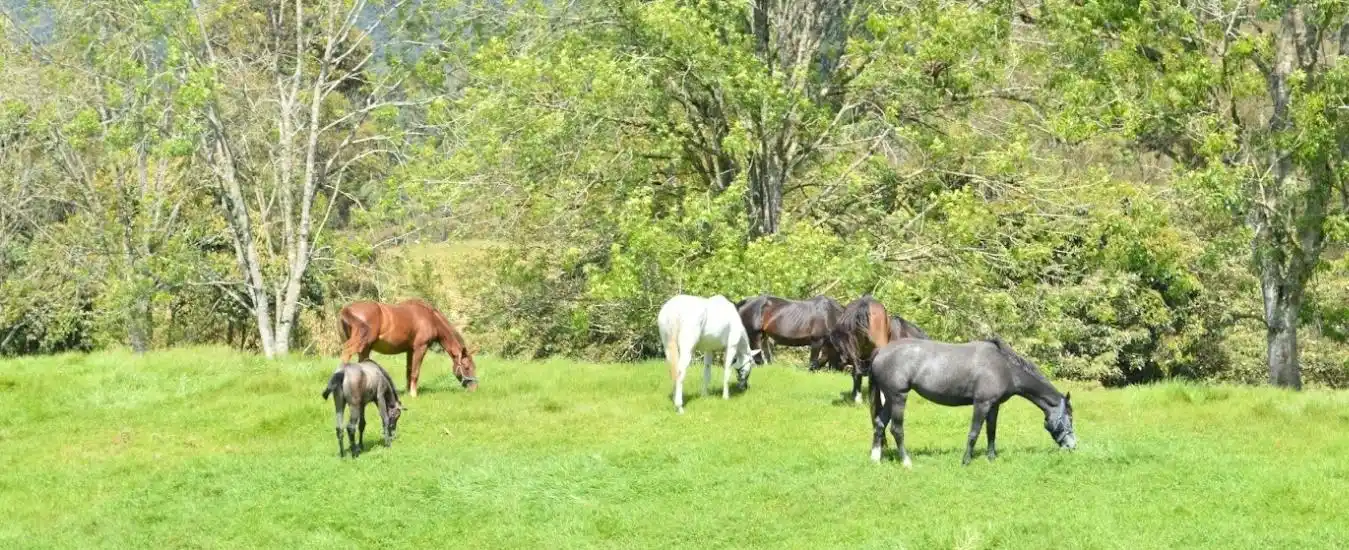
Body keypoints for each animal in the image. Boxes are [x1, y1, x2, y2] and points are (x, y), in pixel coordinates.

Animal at [339, 299, 478, 397]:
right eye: (467, 367)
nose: (474, 388)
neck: (431, 318)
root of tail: (347, 310)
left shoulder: (410, 350)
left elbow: (409, 371)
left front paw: (407, 392)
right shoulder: (420, 348)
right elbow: (415, 372)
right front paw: (414, 394)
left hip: (365, 349)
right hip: (360, 344)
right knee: (345, 354)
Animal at [867, 336, 1077, 467]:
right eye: (1070, 417)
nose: (1072, 446)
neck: (1005, 367)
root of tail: (880, 353)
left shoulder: (994, 405)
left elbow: (991, 432)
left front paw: (991, 458)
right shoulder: (982, 403)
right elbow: (974, 432)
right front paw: (966, 461)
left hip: (890, 399)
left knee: (879, 424)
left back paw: (875, 459)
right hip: (898, 397)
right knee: (896, 429)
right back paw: (906, 462)